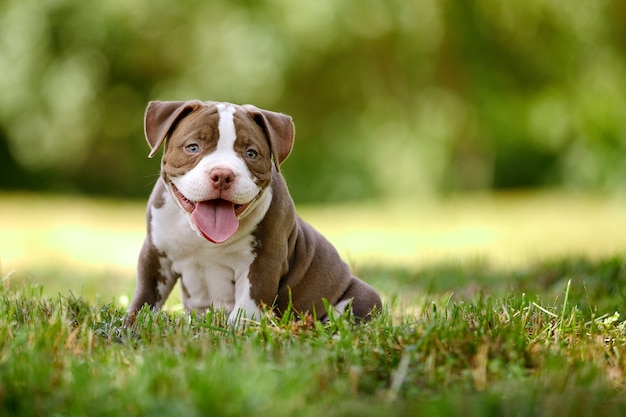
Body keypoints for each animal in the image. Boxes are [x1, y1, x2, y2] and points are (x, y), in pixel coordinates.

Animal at [127, 100, 380, 322]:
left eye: (251, 153)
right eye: (192, 148)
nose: (222, 175)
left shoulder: (263, 262)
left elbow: (246, 308)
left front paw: (236, 332)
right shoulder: (154, 255)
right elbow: (145, 296)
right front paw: (132, 323)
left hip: (361, 296)